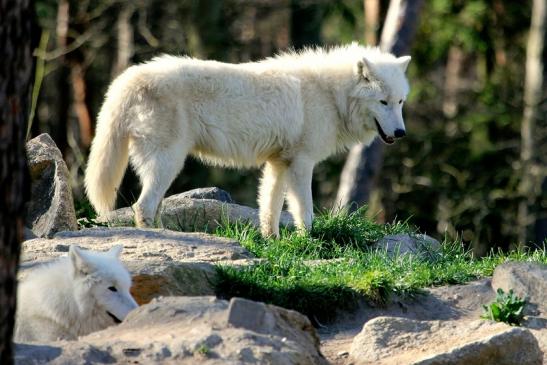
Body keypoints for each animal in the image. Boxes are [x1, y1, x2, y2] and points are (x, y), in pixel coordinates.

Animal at [85, 42, 412, 236]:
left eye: (400, 102)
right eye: (383, 102)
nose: (401, 134)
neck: (331, 95)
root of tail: (128, 78)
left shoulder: (279, 164)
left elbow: (270, 209)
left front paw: (275, 243)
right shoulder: (301, 164)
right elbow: (304, 211)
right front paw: (308, 243)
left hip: (166, 166)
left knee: (152, 206)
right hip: (168, 162)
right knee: (143, 207)